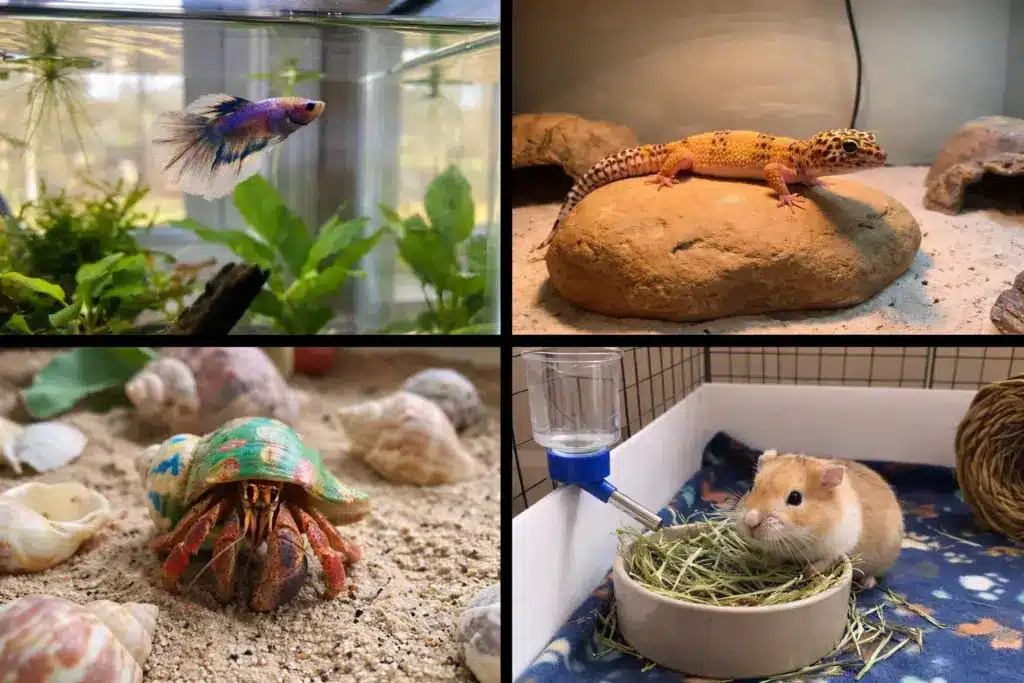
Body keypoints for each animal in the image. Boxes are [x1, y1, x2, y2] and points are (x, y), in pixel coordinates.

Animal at [733, 449, 904, 589]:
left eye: (795, 498)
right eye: (751, 487)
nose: (750, 521)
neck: (800, 534)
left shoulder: (836, 549)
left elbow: (823, 562)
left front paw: (807, 573)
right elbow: (774, 558)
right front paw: (767, 564)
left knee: (872, 574)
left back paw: (867, 584)